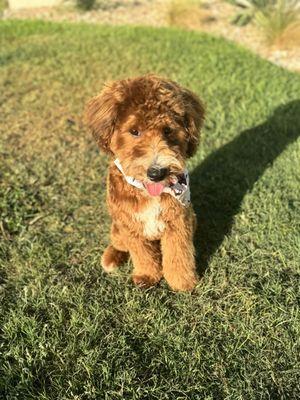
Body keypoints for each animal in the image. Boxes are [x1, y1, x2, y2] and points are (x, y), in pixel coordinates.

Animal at [85, 75, 205, 292]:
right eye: (134, 131)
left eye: (168, 130)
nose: (156, 172)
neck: (147, 192)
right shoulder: (130, 225)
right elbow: (142, 254)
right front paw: (147, 276)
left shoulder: (178, 222)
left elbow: (179, 254)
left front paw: (182, 282)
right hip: (117, 227)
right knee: (118, 243)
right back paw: (111, 258)